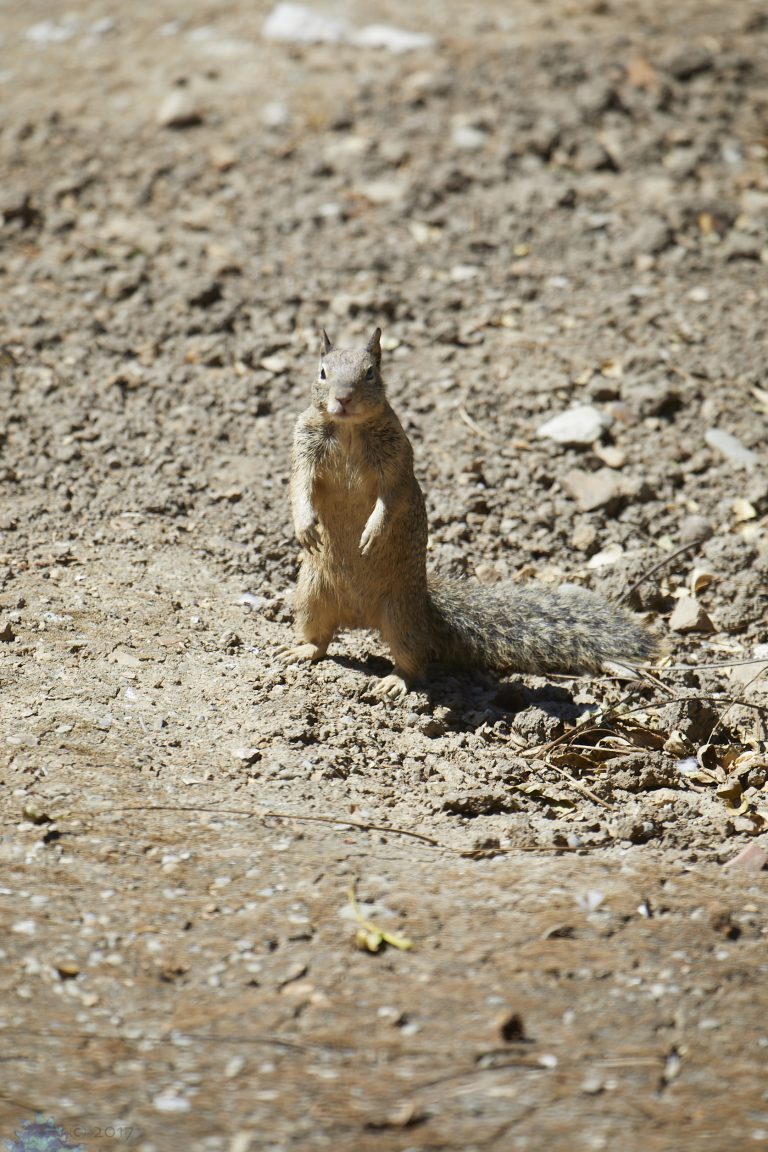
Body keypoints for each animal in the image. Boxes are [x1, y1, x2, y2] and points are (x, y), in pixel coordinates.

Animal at [281, 327, 658, 699]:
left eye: (370, 372)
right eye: (322, 372)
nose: (343, 399)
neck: (348, 428)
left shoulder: (398, 458)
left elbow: (392, 496)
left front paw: (373, 531)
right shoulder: (302, 444)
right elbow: (299, 485)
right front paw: (305, 527)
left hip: (400, 617)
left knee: (415, 660)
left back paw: (394, 681)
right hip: (310, 598)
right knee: (320, 639)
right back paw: (300, 650)